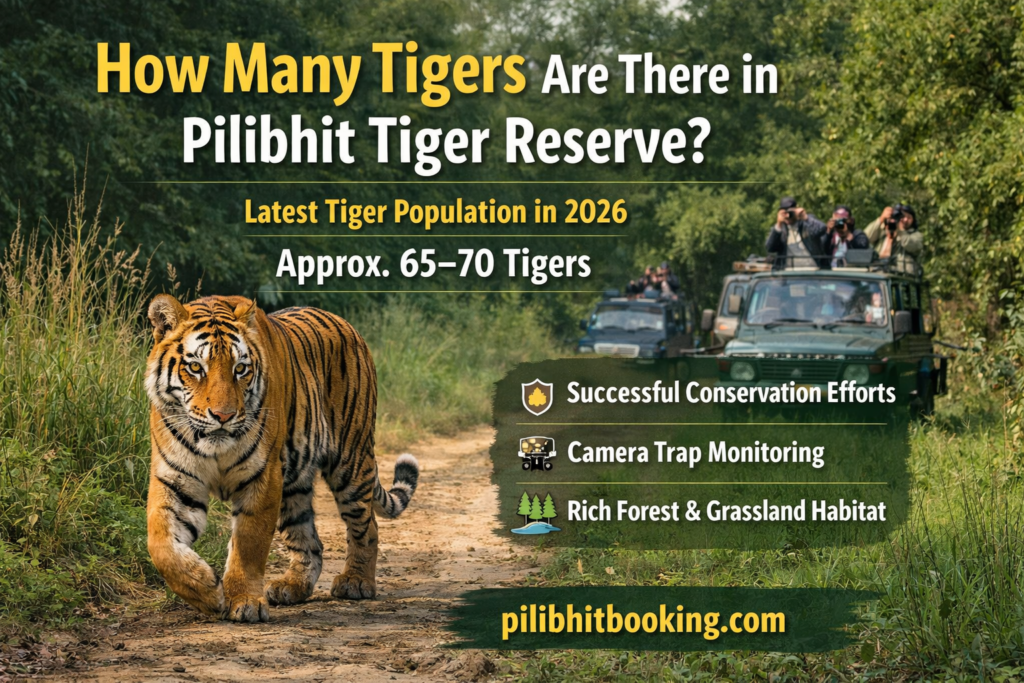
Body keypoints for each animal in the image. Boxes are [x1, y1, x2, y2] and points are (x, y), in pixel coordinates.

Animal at [144, 294, 419, 622]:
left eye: (240, 369)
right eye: (196, 367)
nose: (223, 416)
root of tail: (347, 325)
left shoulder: (262, 476)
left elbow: (249, 543)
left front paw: (245, 601)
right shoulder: (176, 479)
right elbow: (160, 544)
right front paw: (207, 591)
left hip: (350, 462)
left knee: (367, 526)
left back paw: (356, 581)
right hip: (294, 483)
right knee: (309, 540)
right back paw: (293, 586)